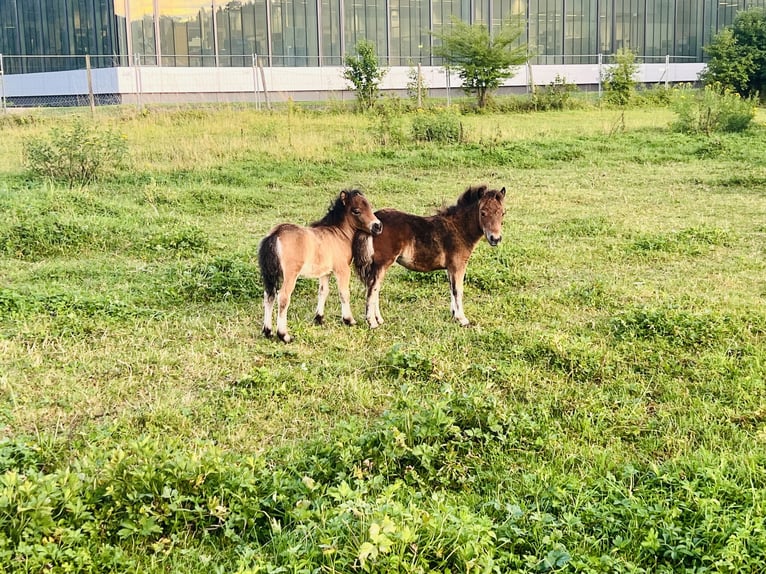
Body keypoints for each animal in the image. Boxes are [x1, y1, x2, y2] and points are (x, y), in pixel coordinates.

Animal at [260, 190, 384, 342]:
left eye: (369, 207)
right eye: (356, 211)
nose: (378, 226)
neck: (339, 235)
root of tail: (275, 234)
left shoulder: (325, 272)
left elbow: (323, 291)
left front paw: (319, 319)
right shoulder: (342, 269)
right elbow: (344, 293)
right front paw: (349, 320)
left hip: (270, 274)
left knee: (269, 296)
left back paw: (267, 331)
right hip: (290, 275)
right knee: (283, 297)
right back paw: (284, 335)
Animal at [356, 184, 510, 328]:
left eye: (503, 213)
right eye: (483, 213)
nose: (495, 239)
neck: (459, 229)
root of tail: (374, 222)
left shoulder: (450, 268)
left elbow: (452, 288)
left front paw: (454, 315)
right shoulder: (458, 265)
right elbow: (458, 290)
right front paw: (462, 319)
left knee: (375, 288)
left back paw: (379, 319)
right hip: (382, 263)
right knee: (372, 288)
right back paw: (372, 322)